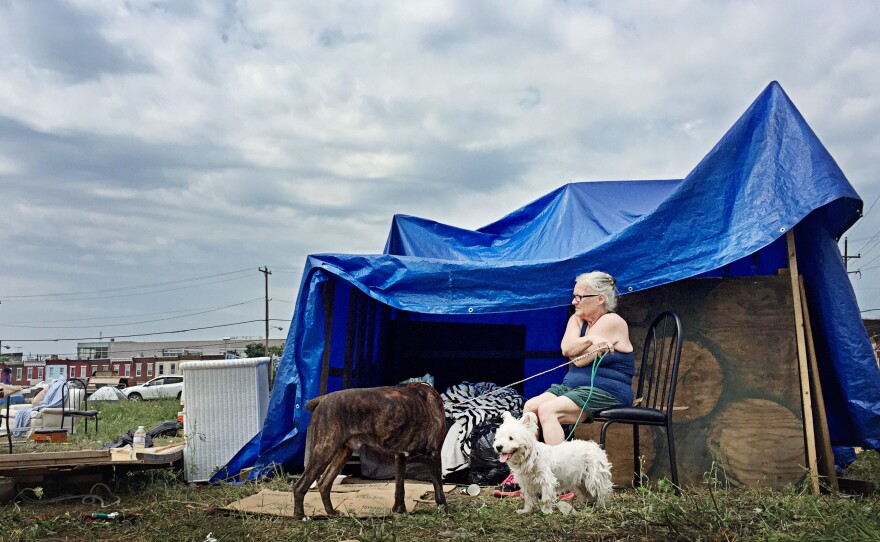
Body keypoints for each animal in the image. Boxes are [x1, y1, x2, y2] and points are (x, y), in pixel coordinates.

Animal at [294, 382, 450, 520]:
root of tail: (322, 399)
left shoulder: (400, 457)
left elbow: (399, 487)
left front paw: (399, 510)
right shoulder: (434, 453)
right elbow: (438, 488)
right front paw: (444, 510)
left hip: (342, 453)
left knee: (324, 483)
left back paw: (331, 512)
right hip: (325, 450)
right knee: (300, 485)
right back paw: (301, 516)